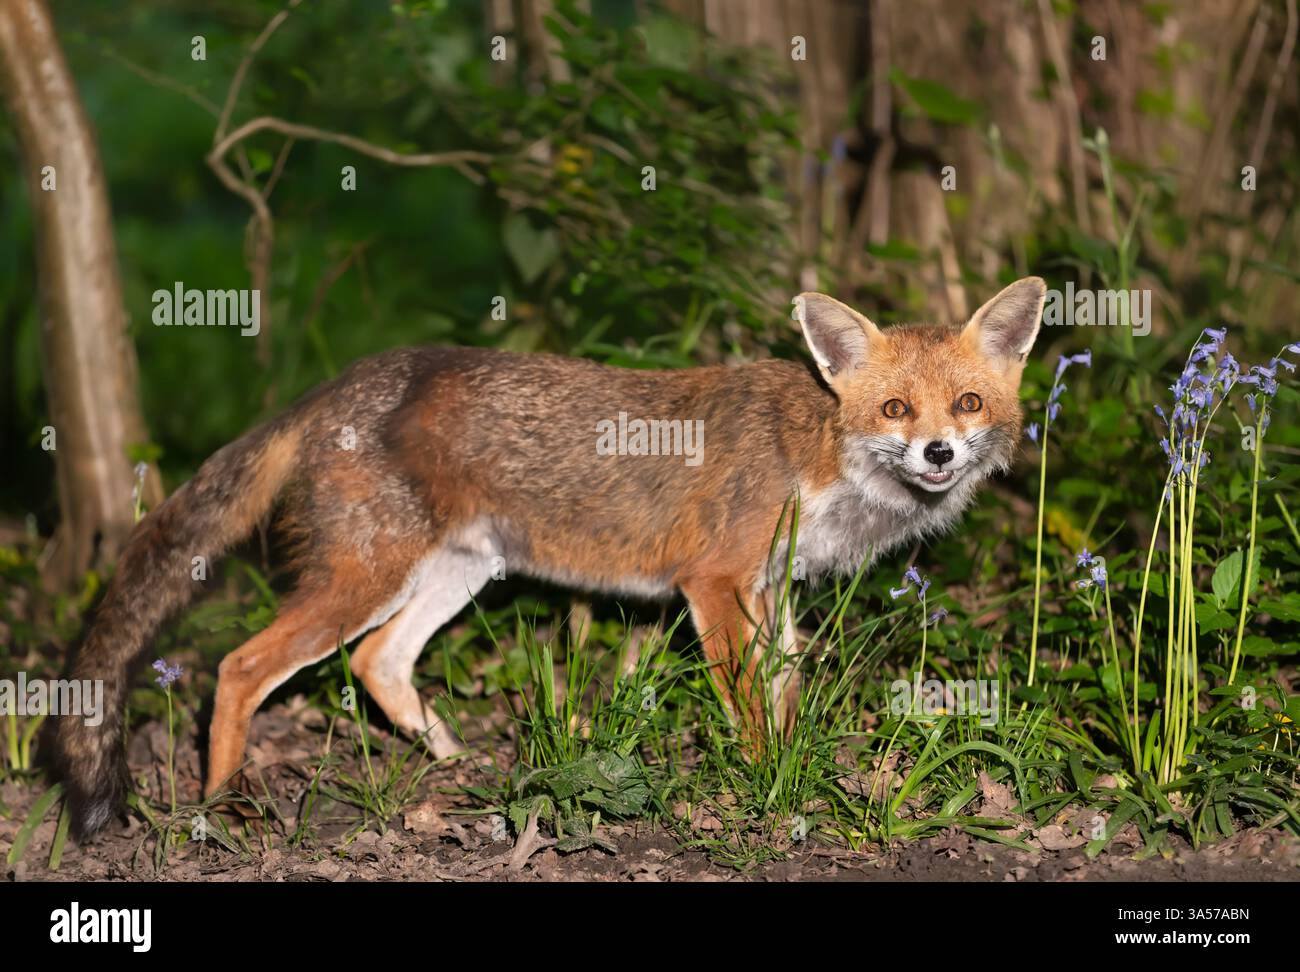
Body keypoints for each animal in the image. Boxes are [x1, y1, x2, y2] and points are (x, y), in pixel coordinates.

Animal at [53, 276, 1046, 838]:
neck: (818, 452)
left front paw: (800, 765)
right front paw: (770, 786)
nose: (938, 454)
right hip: (365, 578)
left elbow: (788, 689)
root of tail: (339, 383)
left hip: (452, 574)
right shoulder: (716, 583)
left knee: (378, 663)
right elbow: (750, 711)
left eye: (966, 403)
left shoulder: (771, 593)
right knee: (238, 667)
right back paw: (221, 806)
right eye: (894, 409)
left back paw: (457, 767)